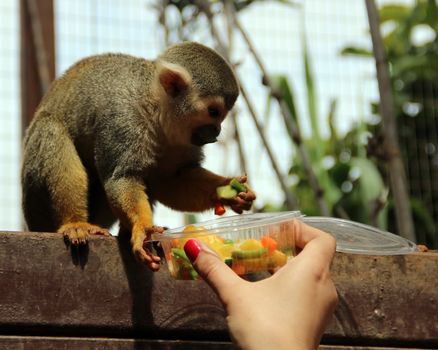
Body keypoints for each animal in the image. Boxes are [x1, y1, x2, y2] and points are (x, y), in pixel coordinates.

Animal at [22, 41, 255, 270]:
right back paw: (75, 223)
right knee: (49, 127)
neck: (155, 109)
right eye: (214, 112)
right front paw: (143, 228)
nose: (216, 131)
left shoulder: (183, 139)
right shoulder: (124, 119)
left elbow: (173, 180)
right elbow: (123, 178)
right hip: (35, 199)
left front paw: (227, 189)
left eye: (222, 116)